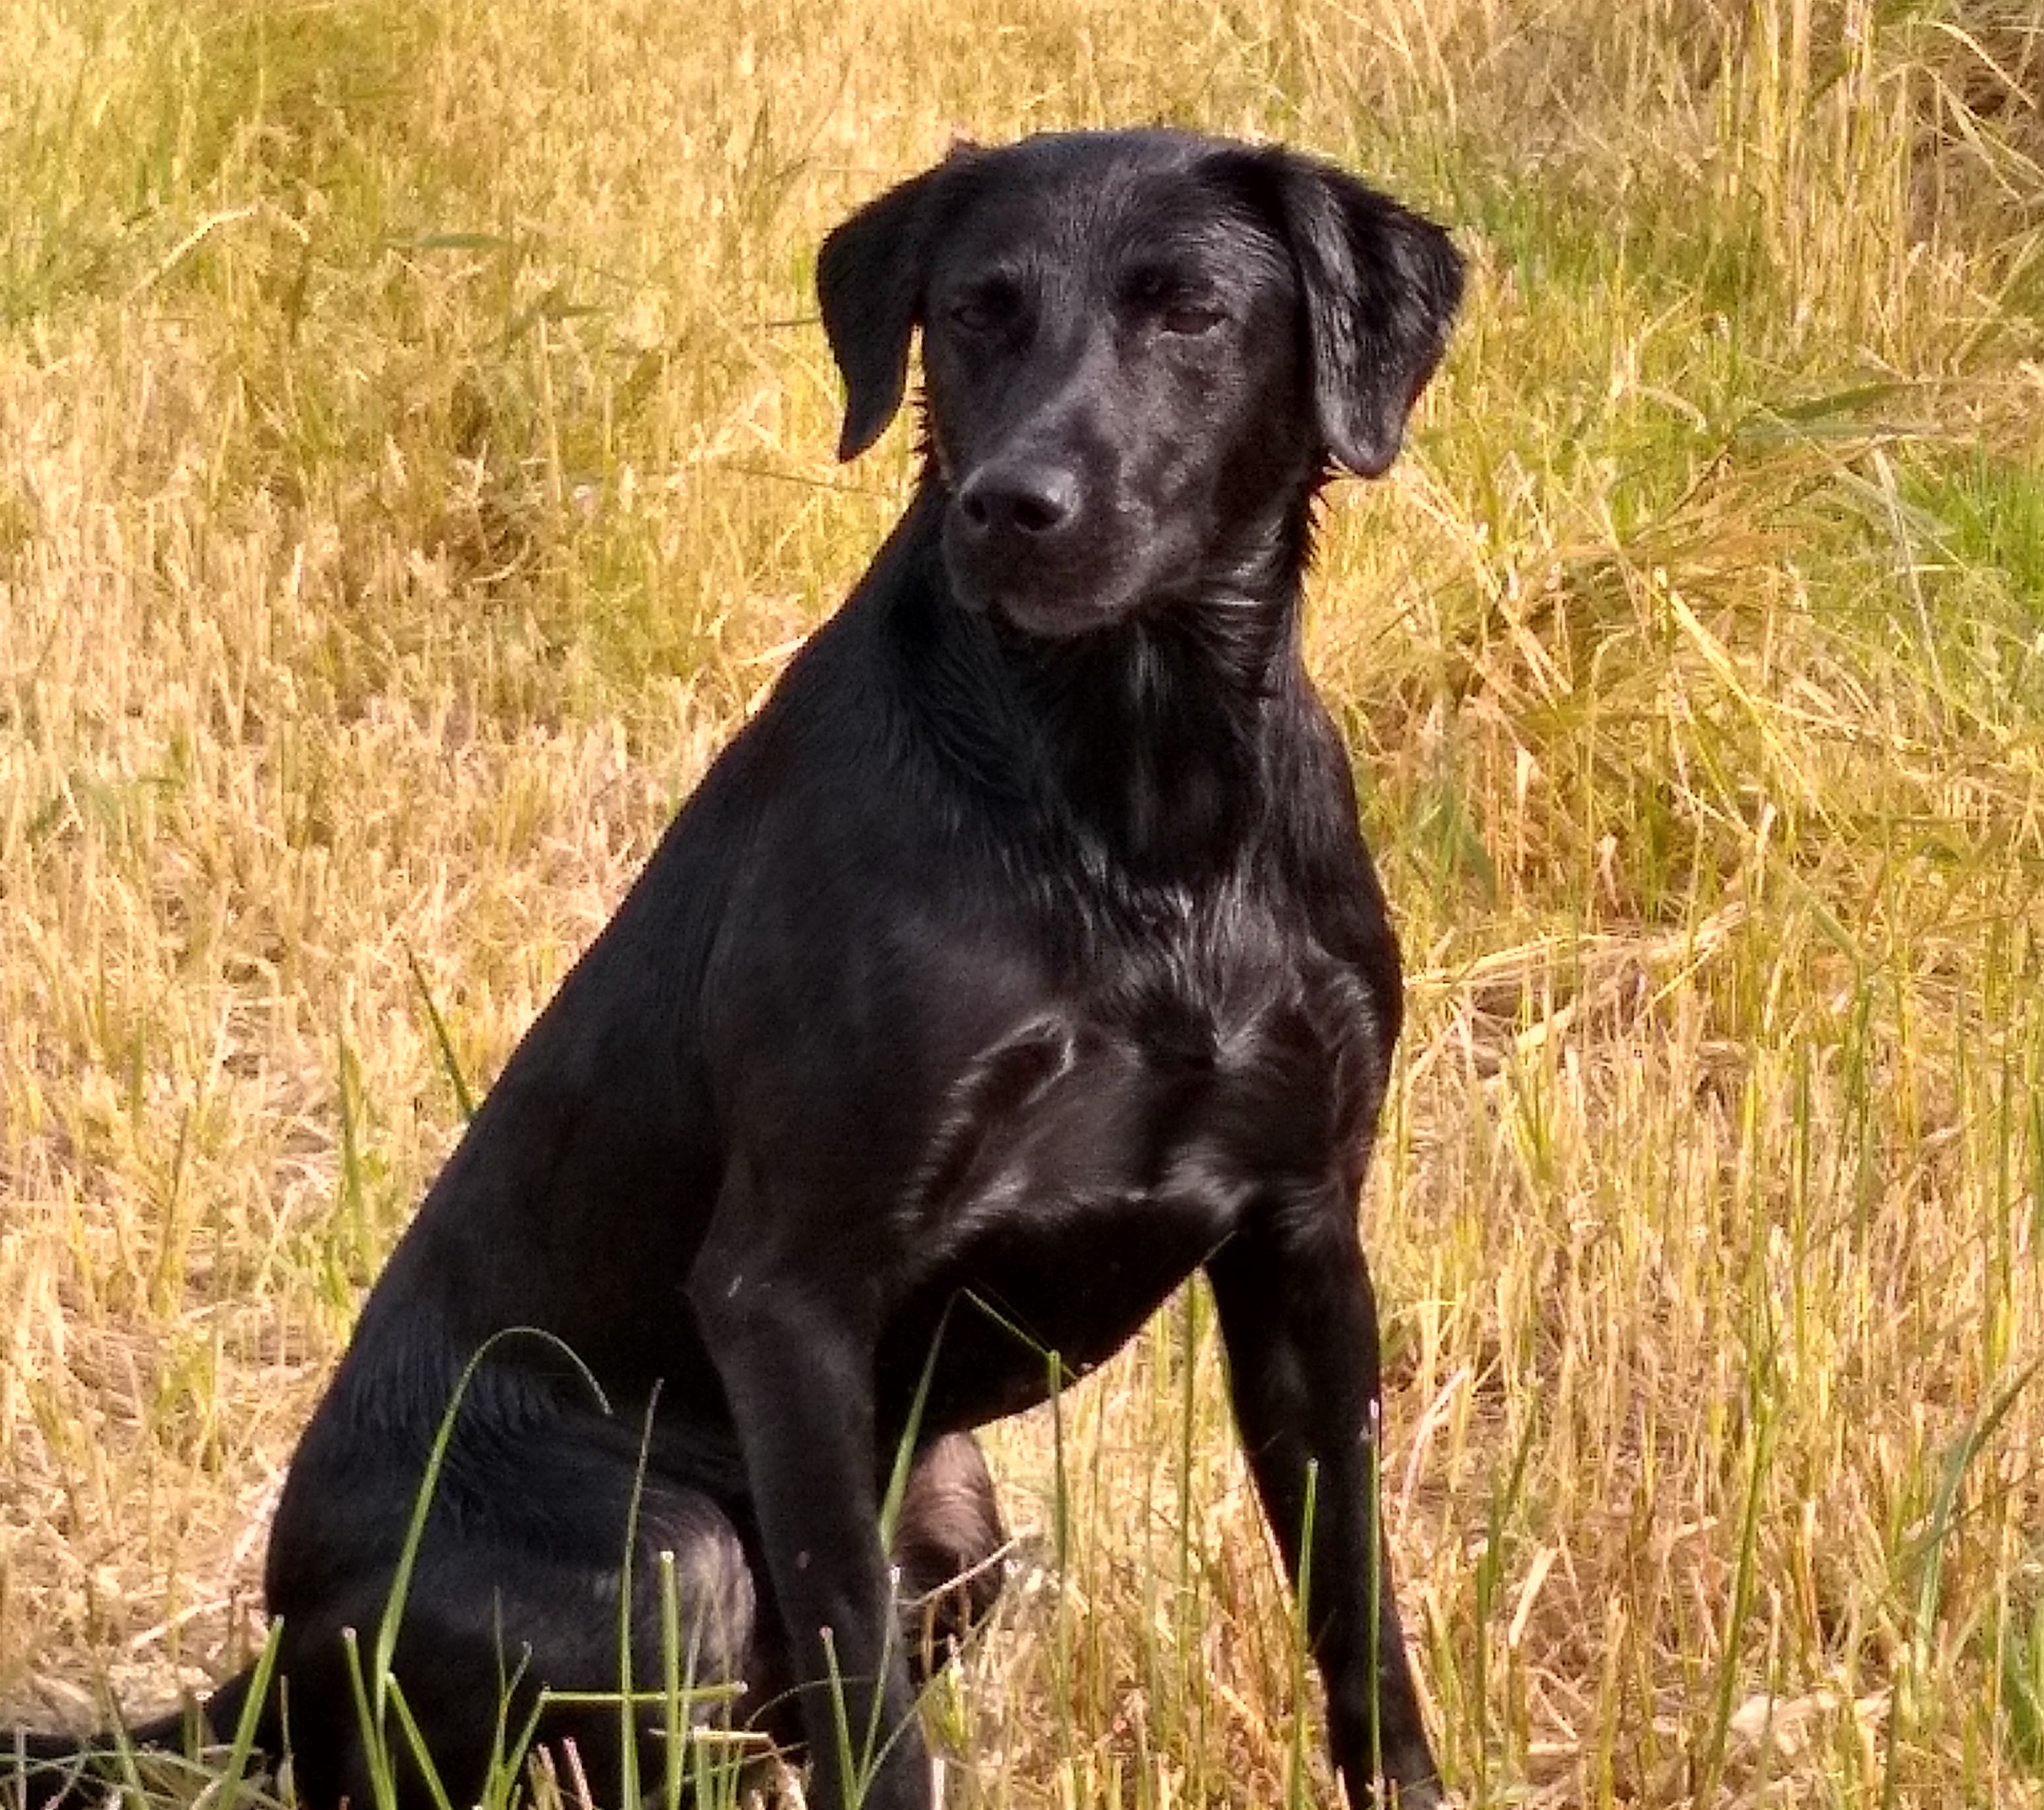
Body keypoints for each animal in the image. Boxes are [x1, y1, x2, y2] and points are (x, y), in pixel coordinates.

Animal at [12, 131, 1455, 1810]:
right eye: (976, 309)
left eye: (1193, 314)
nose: (1010, 506)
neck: (1131, 802)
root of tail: (262, 1666)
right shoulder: (788, 1294)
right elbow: (862, 1687)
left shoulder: (1303, 1240)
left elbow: (1359, 1619)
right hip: (668, 1554)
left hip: (954, 1523)